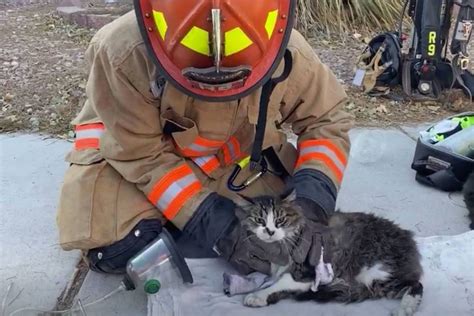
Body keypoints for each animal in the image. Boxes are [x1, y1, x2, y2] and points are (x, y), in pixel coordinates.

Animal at [239, 193, 424, 316]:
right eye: (259, 220)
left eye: (280, 220)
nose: (270, 231)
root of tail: (409, 240)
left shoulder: (310, 272)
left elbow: (282, 281)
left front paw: (258, 295)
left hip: (375, 272)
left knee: (416, 285)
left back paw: (405, 308)